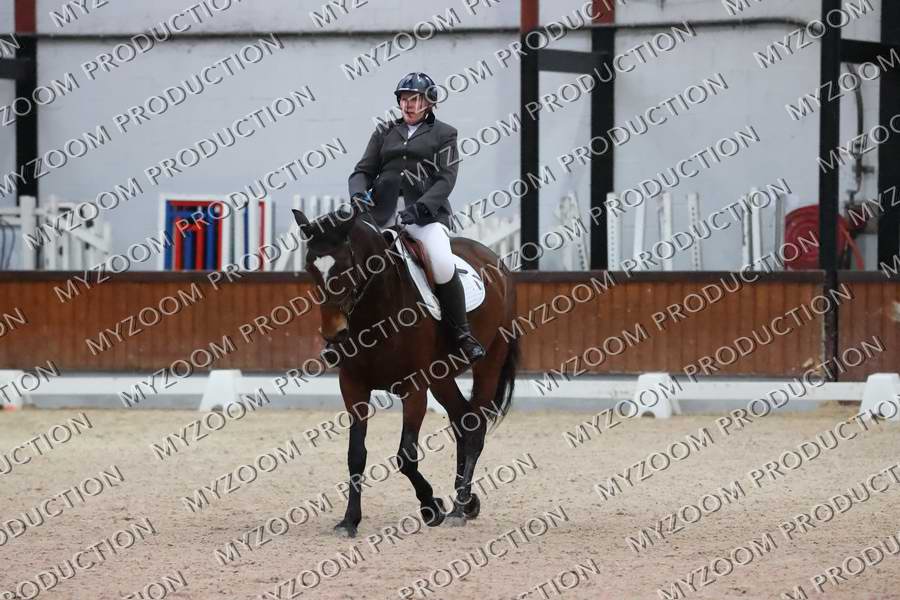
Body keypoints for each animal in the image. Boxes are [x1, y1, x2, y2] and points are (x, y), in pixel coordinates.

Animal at [291, 200, 519, 537]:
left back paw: (458, 508)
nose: (334, 335)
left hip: (489, 363)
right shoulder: (353, 386)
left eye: (345, 266)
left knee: (474, 427)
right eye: (310, 267)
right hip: (442, 377)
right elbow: (356, 455)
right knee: (462, 421)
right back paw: (467, 503)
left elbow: (406, 456)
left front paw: (431, 507)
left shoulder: (414, 388)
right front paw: (349, 521)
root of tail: (495, 262)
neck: (377, 313)